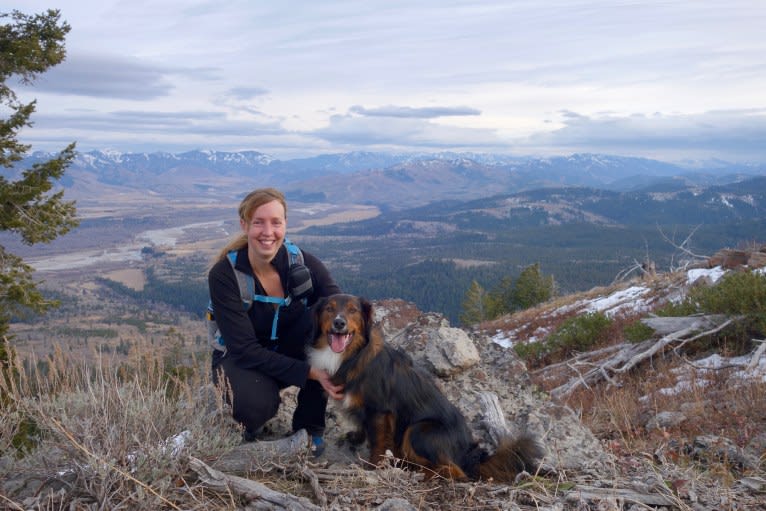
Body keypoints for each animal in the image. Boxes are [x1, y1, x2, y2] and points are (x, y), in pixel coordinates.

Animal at [308, 294, 544, 482]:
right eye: (329, 309)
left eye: (353, 310)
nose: (339, 323)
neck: (352, 355)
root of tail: (467, 454)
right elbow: (363, 428)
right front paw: (356, 438)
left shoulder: (380, 411)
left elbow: (378, 442)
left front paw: (373, 466)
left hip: (418, 430)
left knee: (455, 471)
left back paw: (420, 472)